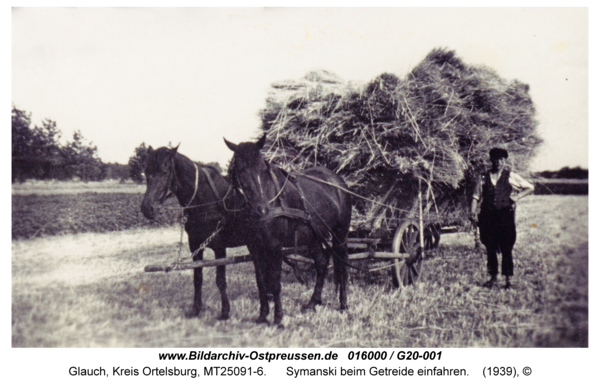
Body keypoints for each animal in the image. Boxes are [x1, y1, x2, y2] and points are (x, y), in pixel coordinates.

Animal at [142, 145, 252, 320]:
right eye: (146, 171)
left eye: (165, 172)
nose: (147, 208)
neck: (205, 199)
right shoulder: (195, 245)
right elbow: (197, 277)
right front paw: (196, 309)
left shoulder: (219, 247)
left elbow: (220, 279)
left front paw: (225, 311)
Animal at [224, 134, 352, 328]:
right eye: (240, 168)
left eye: (263, 168)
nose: (262, 210)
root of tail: (338, 181)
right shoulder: (255, 249)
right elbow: (261, 282)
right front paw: (262, 316)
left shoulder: (275, 247)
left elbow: (275, 283)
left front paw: (278, 319)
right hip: (314, 237)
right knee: (322, 263)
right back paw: (312, 303)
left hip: (340, 235)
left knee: (342, 265)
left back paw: (343, 305)